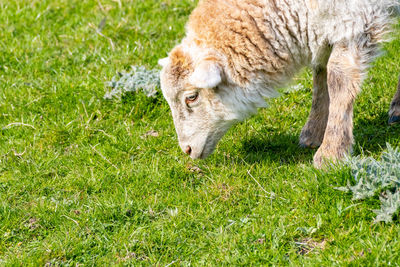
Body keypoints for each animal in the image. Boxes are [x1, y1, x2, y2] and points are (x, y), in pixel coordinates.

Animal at [158, 0, 398, 169]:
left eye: (191, 97)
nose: (187, 150)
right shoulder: (324, 25)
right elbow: (320, 69)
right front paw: (314, 132)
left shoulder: (358, 17)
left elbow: (338, 77)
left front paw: (331, 152)